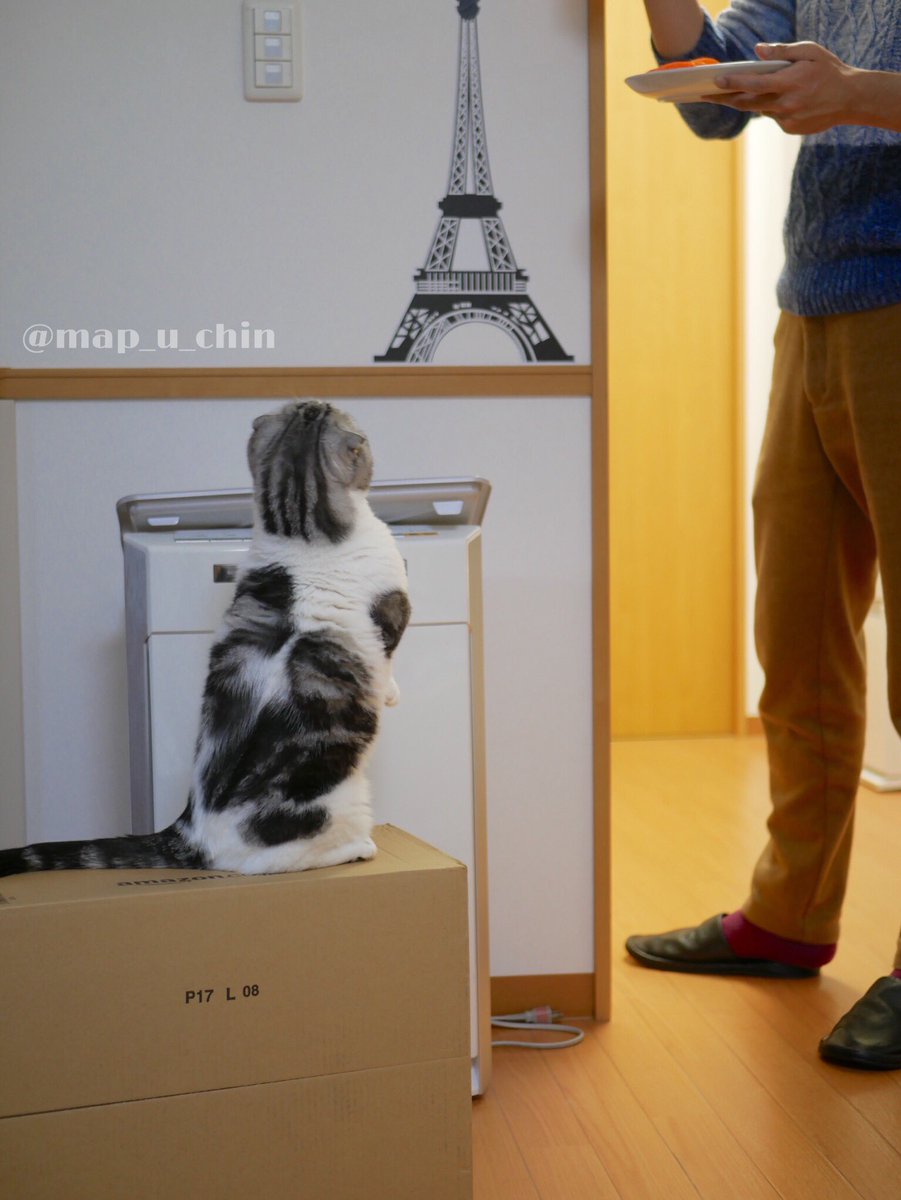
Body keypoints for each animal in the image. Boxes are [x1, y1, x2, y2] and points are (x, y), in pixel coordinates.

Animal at [0, 400, 411, 878]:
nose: (319, 402)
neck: (300, 528)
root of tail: (189, 832)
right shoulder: (393, 611)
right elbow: (391, 657)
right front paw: (391, 692)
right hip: (341, 805)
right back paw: (359, 848)